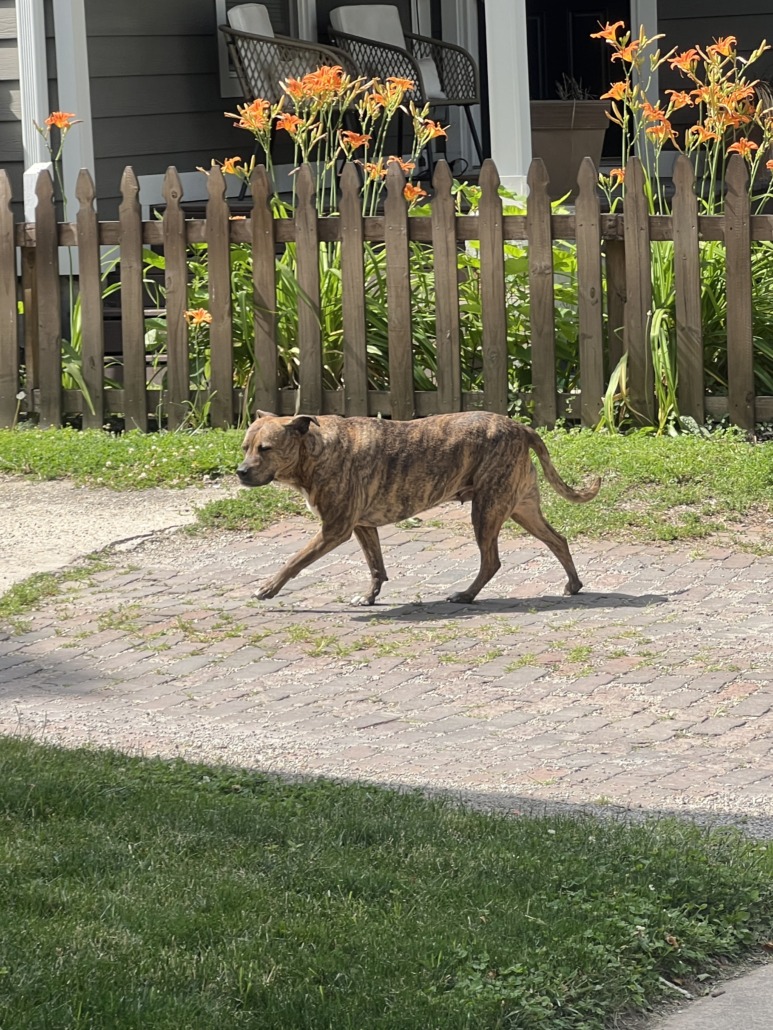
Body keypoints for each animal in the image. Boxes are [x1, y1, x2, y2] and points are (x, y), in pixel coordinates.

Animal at [236, 410, 600, 605]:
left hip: (487, 511)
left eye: (266, 449)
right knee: (558, 541)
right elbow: (376, 567)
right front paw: (369, 597)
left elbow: (294, 561)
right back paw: (573, 585)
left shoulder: (334, 530)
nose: (240, 472)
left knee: (492, 561)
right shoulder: (362, 526)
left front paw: (268, 588)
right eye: (245, 447)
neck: (316, 449)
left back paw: (466, 595)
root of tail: (520, 427)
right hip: (521, 508)